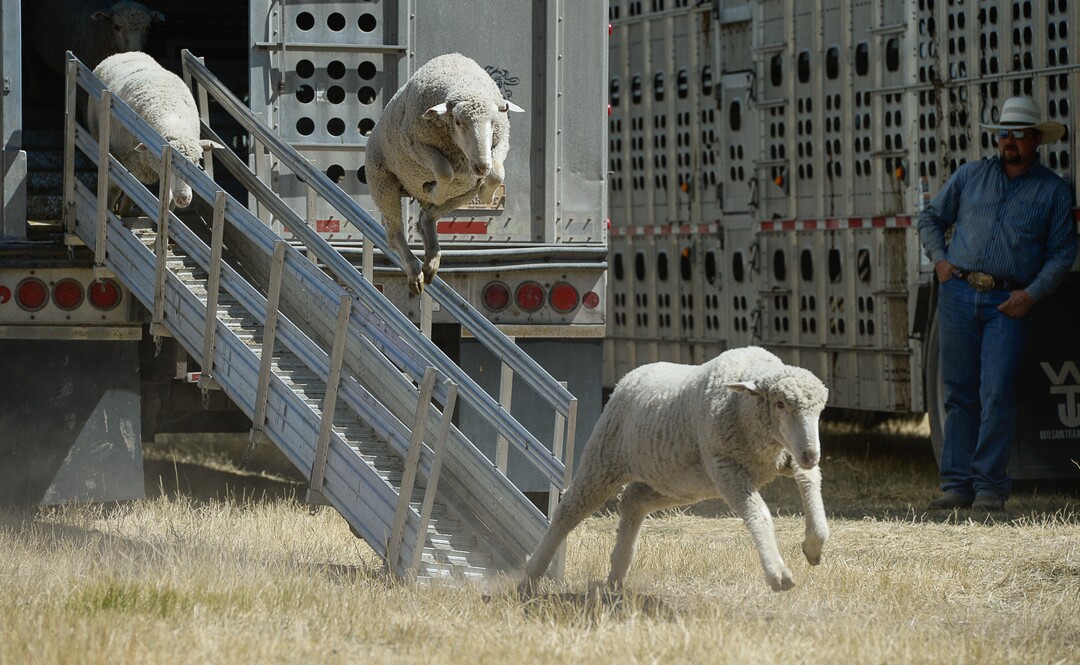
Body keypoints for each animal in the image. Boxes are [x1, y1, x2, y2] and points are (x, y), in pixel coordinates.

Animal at [86, 52, 222, 214]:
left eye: (198, 161)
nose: (184, 198)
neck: (172, 118)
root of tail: (125, 53)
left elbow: (163, 198)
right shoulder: (118, 154)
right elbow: (116, 187)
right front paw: (109, 209)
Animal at [365, 53, 524, 294]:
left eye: (493, 121)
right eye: (458, 121)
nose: (481, 166)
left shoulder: (501, 142)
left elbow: (497, 174)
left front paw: (487, 193)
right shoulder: (415, 145)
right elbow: (444, 170)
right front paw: (433, 190)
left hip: (464, 193)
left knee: (428, 217)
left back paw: (431, 260)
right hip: (383, 183)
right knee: (396, 233)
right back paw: (415, 273)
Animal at [521, 347, 830, 593]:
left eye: (819, 410)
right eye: (780, 404)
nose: (812, 454)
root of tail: (632, 375)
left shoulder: (786, 455)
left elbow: (810, 480)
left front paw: (814, 545)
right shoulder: (728, 469)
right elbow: (759, 513)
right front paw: (778, 575)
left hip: (676, 481)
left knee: (633, 500)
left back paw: (617, 574)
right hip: (604, 459)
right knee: (570, 509)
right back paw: (532, 574)